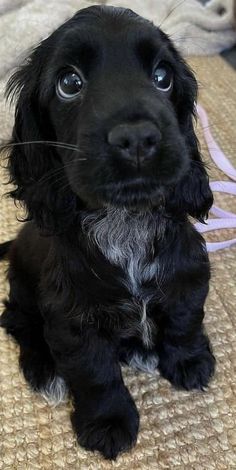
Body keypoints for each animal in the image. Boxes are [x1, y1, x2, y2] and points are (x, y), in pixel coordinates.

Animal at [0, 3, 216, 458]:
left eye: (162, 76)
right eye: (69, 83)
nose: (137, 138)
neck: (125, 221)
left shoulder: (188, 277)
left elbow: (185, 320)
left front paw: (189, 363)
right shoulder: (71, 319)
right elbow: (95, 373)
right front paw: (108, 422)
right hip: (23, 291)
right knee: (18, 324)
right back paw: (44, 372)